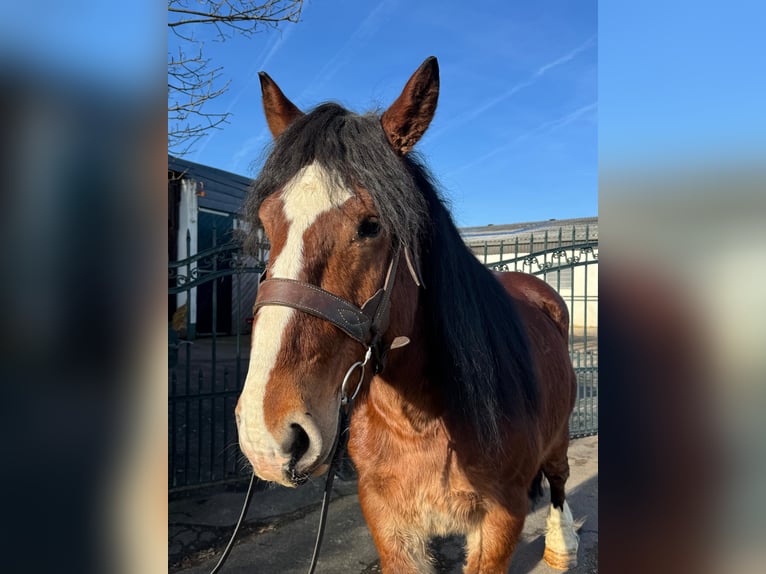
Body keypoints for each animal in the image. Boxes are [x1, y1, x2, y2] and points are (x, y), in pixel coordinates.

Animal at [234, 57, 579, 573]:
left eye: (371, 225)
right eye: (266, 223)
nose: (267, 436)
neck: (420, 420)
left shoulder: (500, 523)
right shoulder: (388, 520)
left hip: (558, 438)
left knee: (559, 476)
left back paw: (563, 545)